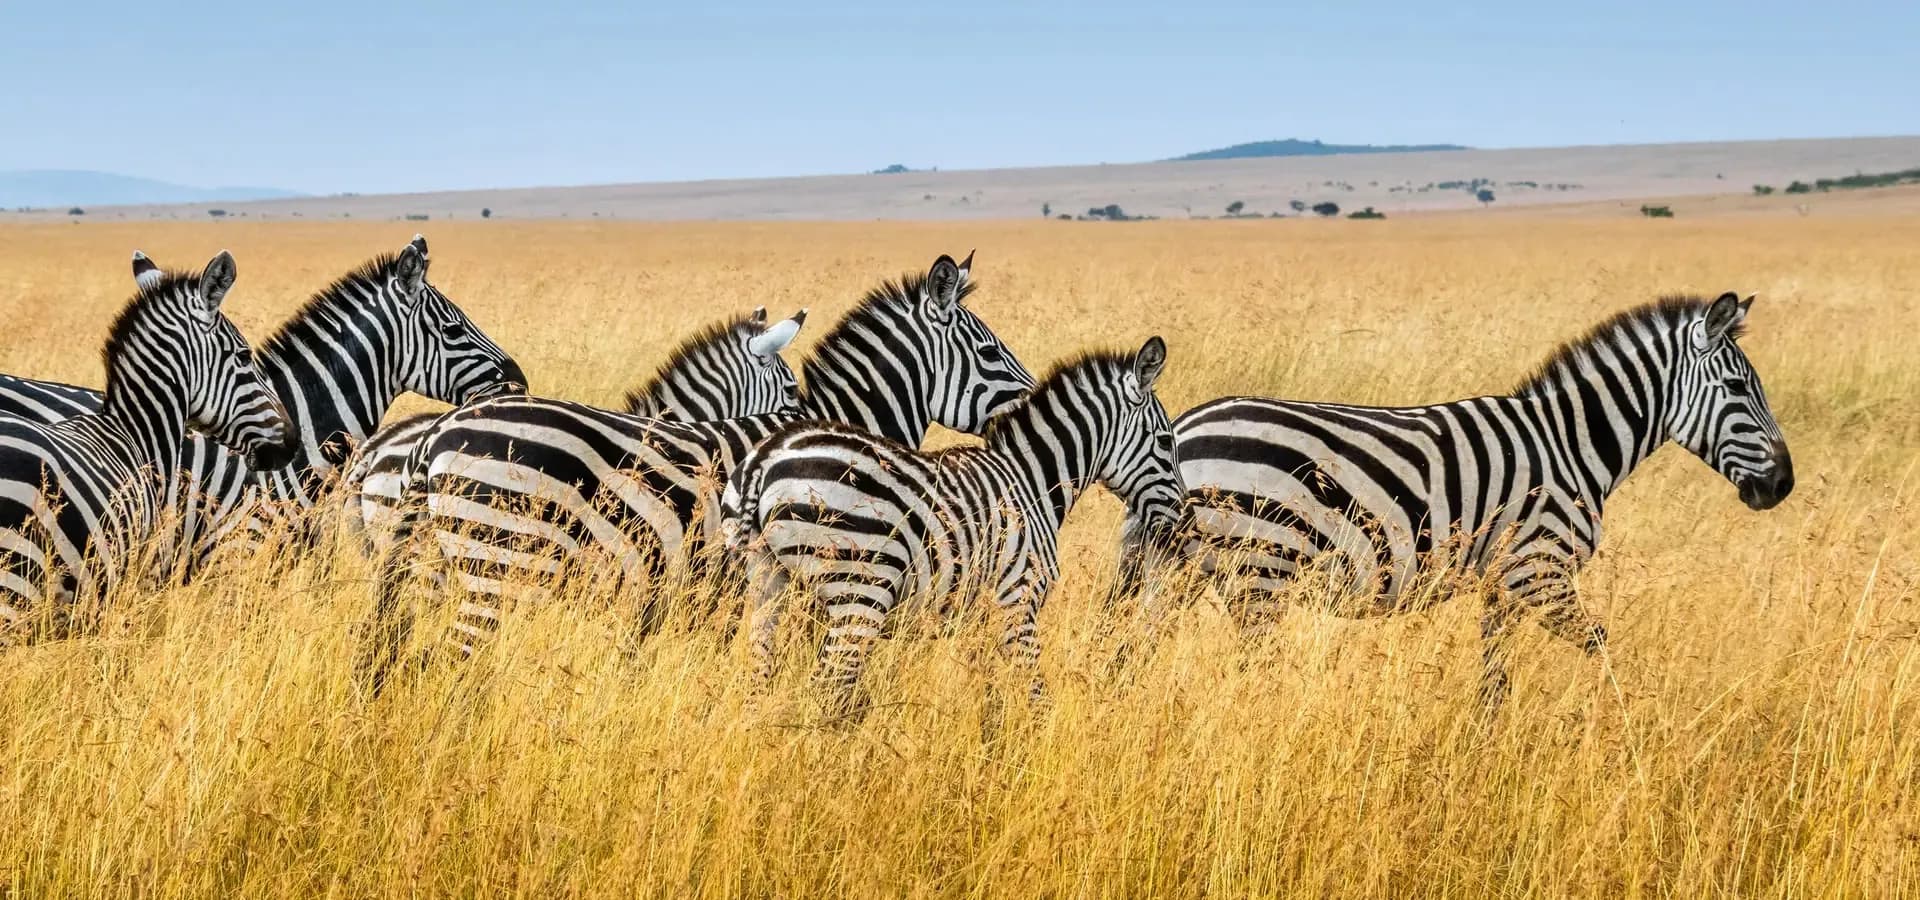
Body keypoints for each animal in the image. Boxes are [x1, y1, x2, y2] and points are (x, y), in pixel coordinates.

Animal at [723, 337, 1179, 714]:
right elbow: (1034, 693)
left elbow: (991, 695)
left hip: (767, 582)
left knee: (759, 681)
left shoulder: (980, 615)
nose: (1179, 520)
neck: (1032, 481)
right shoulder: (1018, 601)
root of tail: (766, 457)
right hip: (860, 590)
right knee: (827, 688)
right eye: (1164, 441)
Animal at [1119, 293, 1794, 710]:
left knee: (1132, 654)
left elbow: (1494, 680)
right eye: (1739, 388)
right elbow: (1601, 646)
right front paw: (1626, 730)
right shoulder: (1539, 571)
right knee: (1246, 672)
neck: (1572, 444)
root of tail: (1182, 428)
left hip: (1175, 571)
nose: (1783, 485)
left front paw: (1483, 750)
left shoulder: (1503, 582)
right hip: (1261, 571)